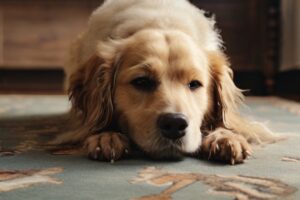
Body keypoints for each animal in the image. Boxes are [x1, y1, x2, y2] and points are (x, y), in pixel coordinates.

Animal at [55, 0, 276, 164]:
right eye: (141, 82)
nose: (175, 124)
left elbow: (224, 121)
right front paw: (106, 135)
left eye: (195, 84)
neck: (160, 23)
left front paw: (224, 136)